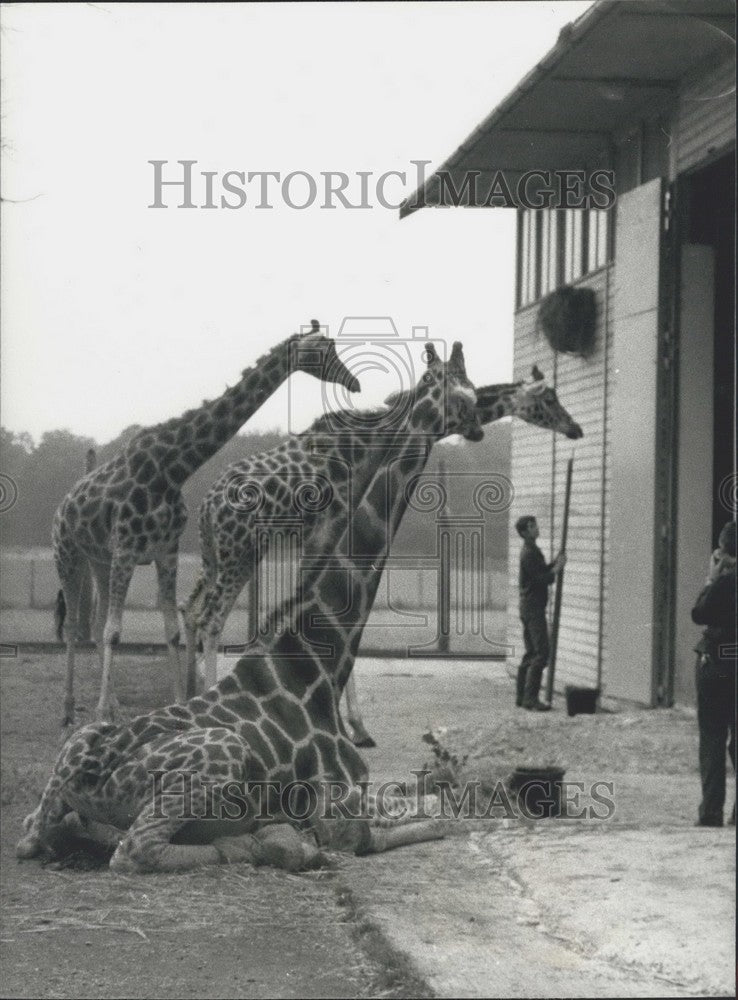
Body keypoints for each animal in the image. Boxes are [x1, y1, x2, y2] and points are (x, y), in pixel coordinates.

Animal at [53, 322, 360, 727]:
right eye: (322, 350)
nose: (353, 382)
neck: (170, 469)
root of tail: (64, 504)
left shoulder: (164, 552)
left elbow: (168, 632)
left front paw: (176, 702)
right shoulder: (128, 548)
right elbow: (116, 632)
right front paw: (104, 712)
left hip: (100, 560)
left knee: (96, 619)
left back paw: (108, 704)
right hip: (68, 555)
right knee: (75, 625)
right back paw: (70, 709)